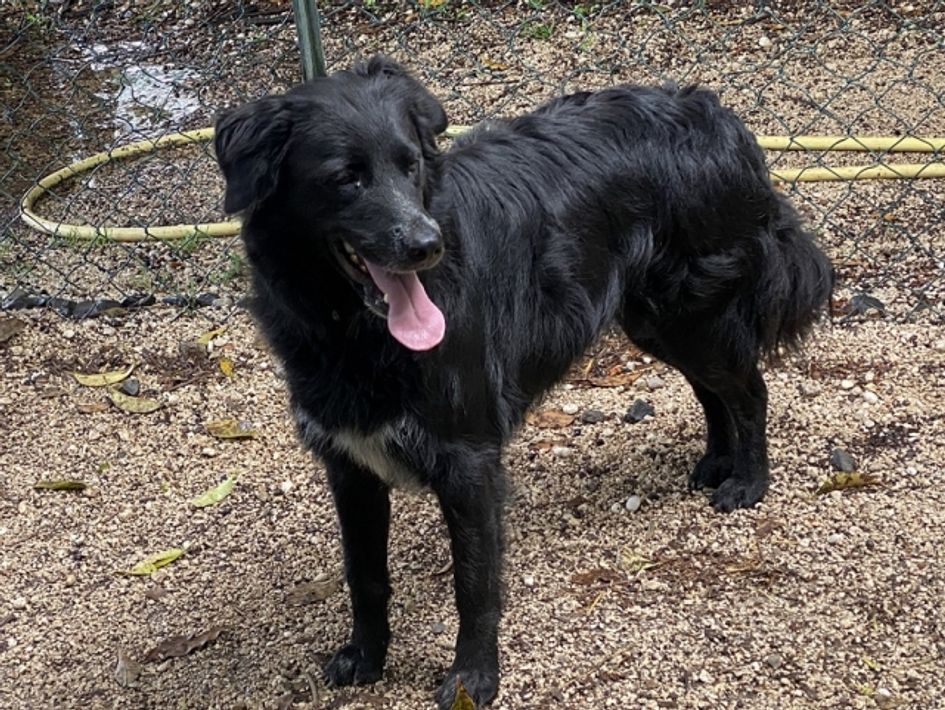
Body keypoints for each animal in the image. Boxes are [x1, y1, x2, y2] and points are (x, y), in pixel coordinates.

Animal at [214, 55, 832, 708]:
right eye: (345, 179)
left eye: (410, 166)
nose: (427, 246)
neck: (351, 331)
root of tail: (714, 112)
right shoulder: (350, 465)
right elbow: (364, 576)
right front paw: (366, 656)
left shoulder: (469, 461)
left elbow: (475, 583)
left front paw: (473, 679)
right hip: (658, 321)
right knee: (712, 391)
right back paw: (715, 462)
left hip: (690, 315)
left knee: (748, 390)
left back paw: (748, 481)